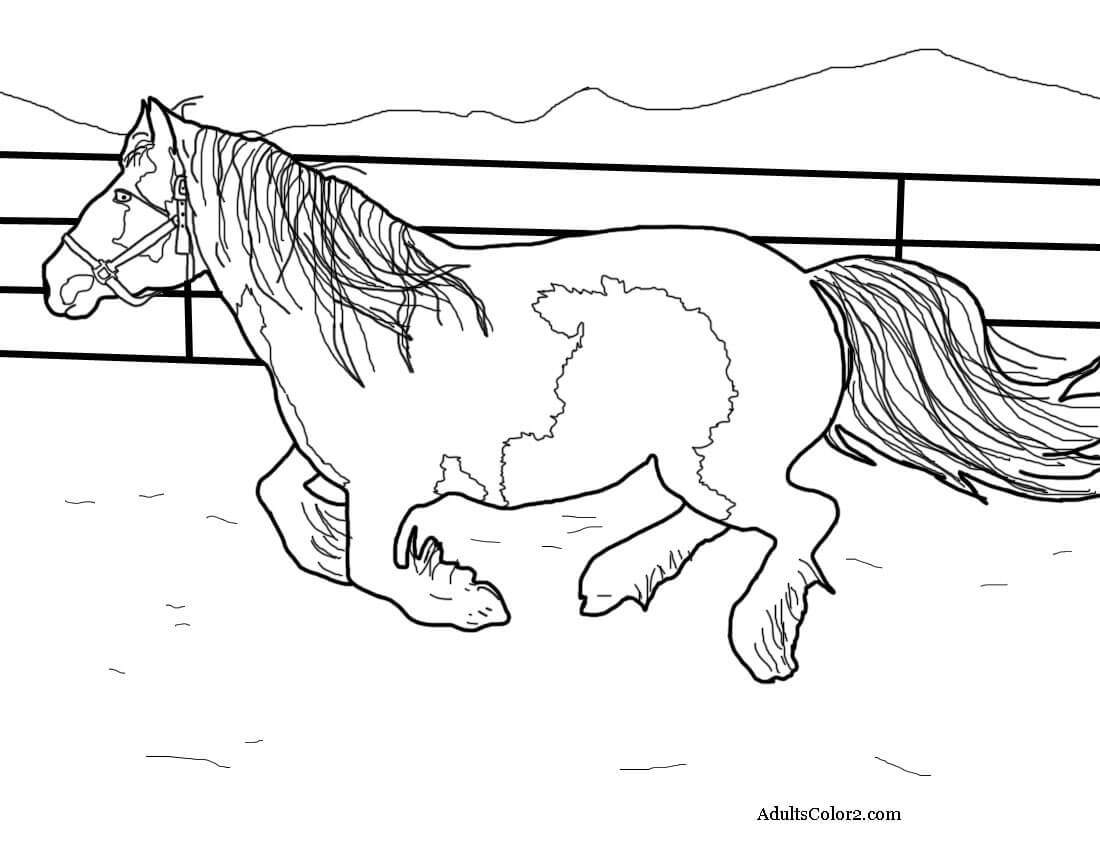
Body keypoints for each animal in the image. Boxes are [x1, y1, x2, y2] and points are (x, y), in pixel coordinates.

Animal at [42, 98, 1100, 683]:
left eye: (127, 195)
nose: (57, 281)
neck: (360, 319)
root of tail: (809, 284)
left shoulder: (387, 481)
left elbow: (371, 568)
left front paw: (462, 599)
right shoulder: (329, 464)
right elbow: (289, 513)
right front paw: (429, 567)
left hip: (719, 461)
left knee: (805, 517)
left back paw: (757, 640)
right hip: (693, 462)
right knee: (736, 518)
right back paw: (614, 576)